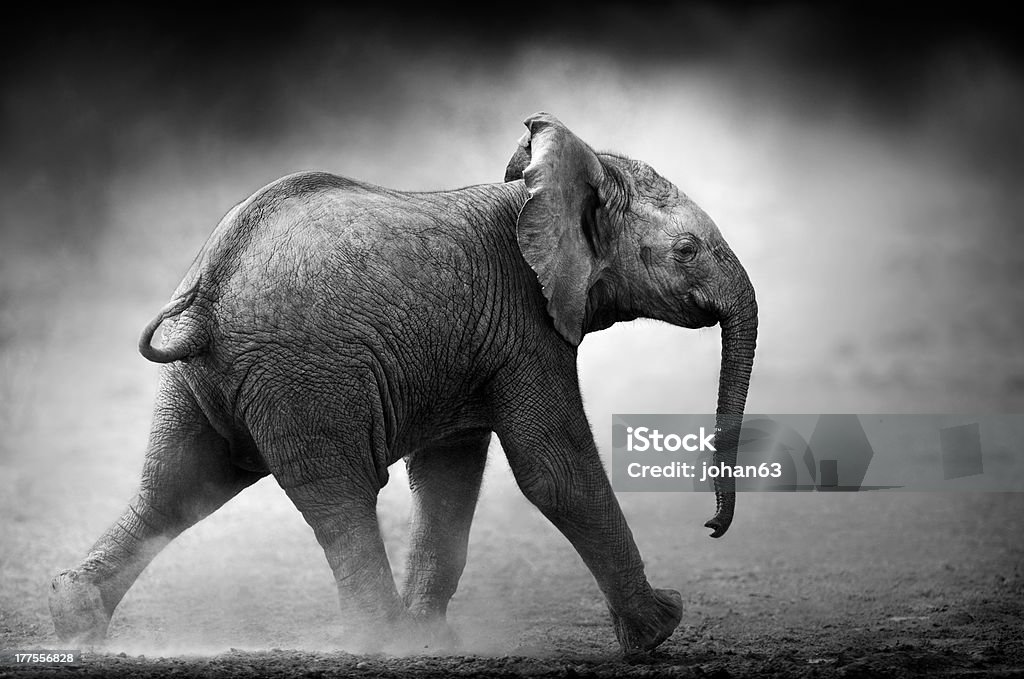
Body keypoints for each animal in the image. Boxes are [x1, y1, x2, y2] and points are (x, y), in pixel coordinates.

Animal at [48, 111, 757, 655]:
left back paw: (75, 623)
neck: (543, 188)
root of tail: (209, 286)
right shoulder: (528, 326)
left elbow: (449, 478)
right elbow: (555, 471)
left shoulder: (477, 344)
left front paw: (432, 641)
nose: (712, 528)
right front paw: (662, 627)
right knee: (339, 497)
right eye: (688, 250)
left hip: (209, 380)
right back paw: (381, 640)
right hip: (308, 375)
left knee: (179, 486)